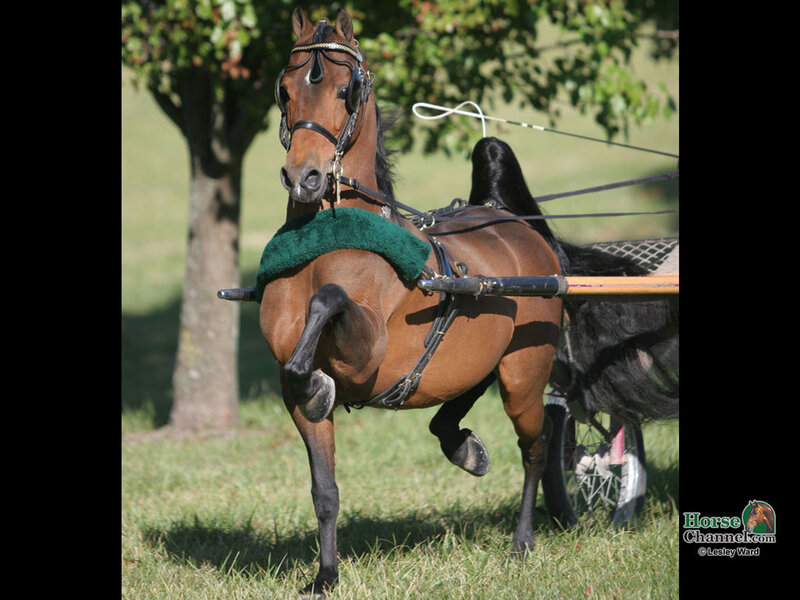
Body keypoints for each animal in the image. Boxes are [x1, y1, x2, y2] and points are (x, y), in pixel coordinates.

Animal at [259, 8, 676, 596]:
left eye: (346, 90)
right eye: (286, 89)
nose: (305, 177)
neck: (325, 242)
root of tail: (514, 221)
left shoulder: (365, 357)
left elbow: (329, 299)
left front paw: (318, 380)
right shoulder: (289, 390)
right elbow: (324, 488)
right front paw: (325, 576)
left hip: (524, 373)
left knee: (538, 446)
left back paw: (522, 541)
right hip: (479, 358)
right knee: (461, 406)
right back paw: (463, 447)